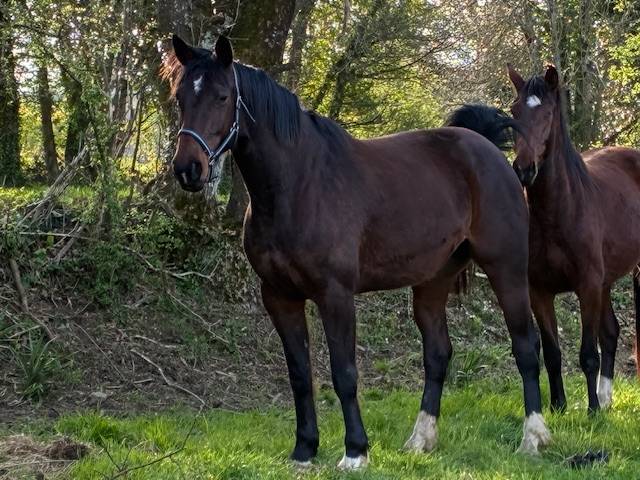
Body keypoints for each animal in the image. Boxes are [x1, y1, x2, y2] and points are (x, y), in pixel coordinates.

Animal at [162, 34, 550, 468]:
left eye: (222, 96)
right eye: (181, 97)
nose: (188, 169)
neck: (299, 185)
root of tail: (487, 149)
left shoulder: (335, 295)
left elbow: (344, 373)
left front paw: (355, 451)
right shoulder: (279, 297)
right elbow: (300, 375)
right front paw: (304, 450)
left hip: (506, 269)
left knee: (526, 347)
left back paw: (533, 438)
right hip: (433, 281)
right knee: (438, 354)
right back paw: (420, 439)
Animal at [448, 65, 640, 414]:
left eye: (548, 113)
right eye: (514, 111)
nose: (524, 169)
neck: (560, 215)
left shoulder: (587, 287)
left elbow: (587, 354)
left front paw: (591, 411)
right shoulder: (540, 293)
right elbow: (552, 353)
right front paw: (559, 405)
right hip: (605, 283)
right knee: (610, 333)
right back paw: (606, 397)